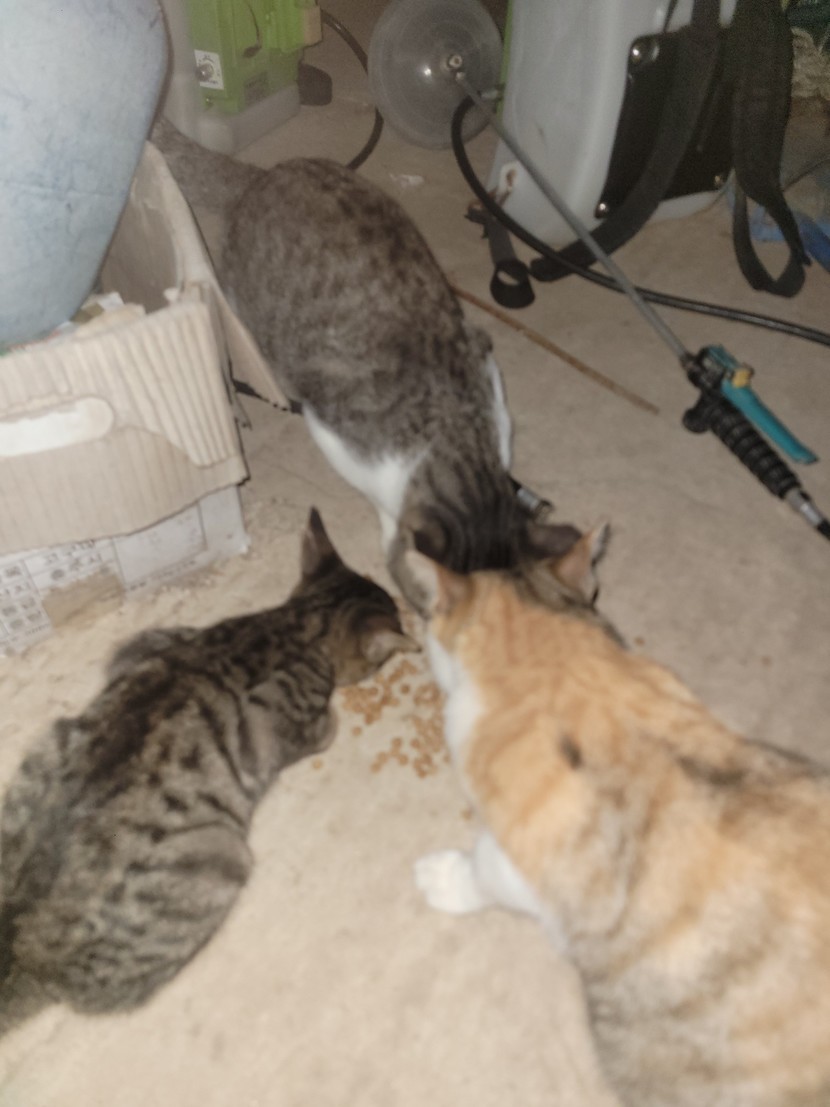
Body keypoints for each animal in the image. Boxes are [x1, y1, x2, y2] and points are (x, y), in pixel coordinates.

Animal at [0, 509, 416, 1037]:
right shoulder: (290, 723)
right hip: (223, 855)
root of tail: (22, 951)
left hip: (45, 747)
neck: (297, 623)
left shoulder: (147, 645)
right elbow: (324, 727)